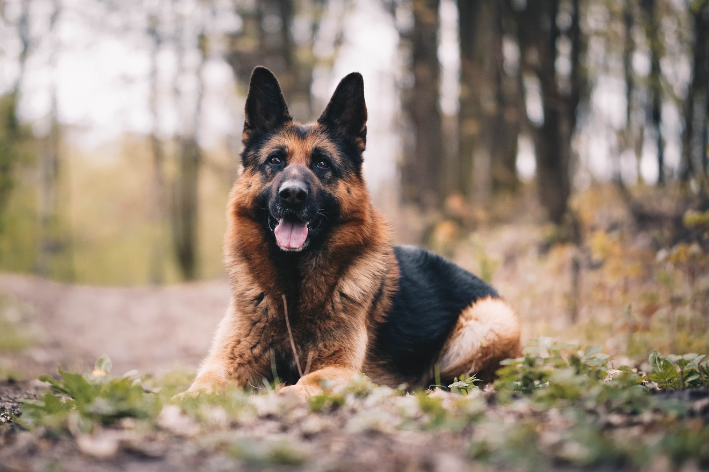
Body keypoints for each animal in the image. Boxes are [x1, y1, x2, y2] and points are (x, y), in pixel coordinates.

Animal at [185, 66, 520, 396]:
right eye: (275, 160)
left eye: (322, 163)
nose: (292, 195)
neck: (293, 289)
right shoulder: (226, 361)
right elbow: (201, 386)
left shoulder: (339, 368)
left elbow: (300, 385)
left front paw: (280, 394)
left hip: (483, 322)